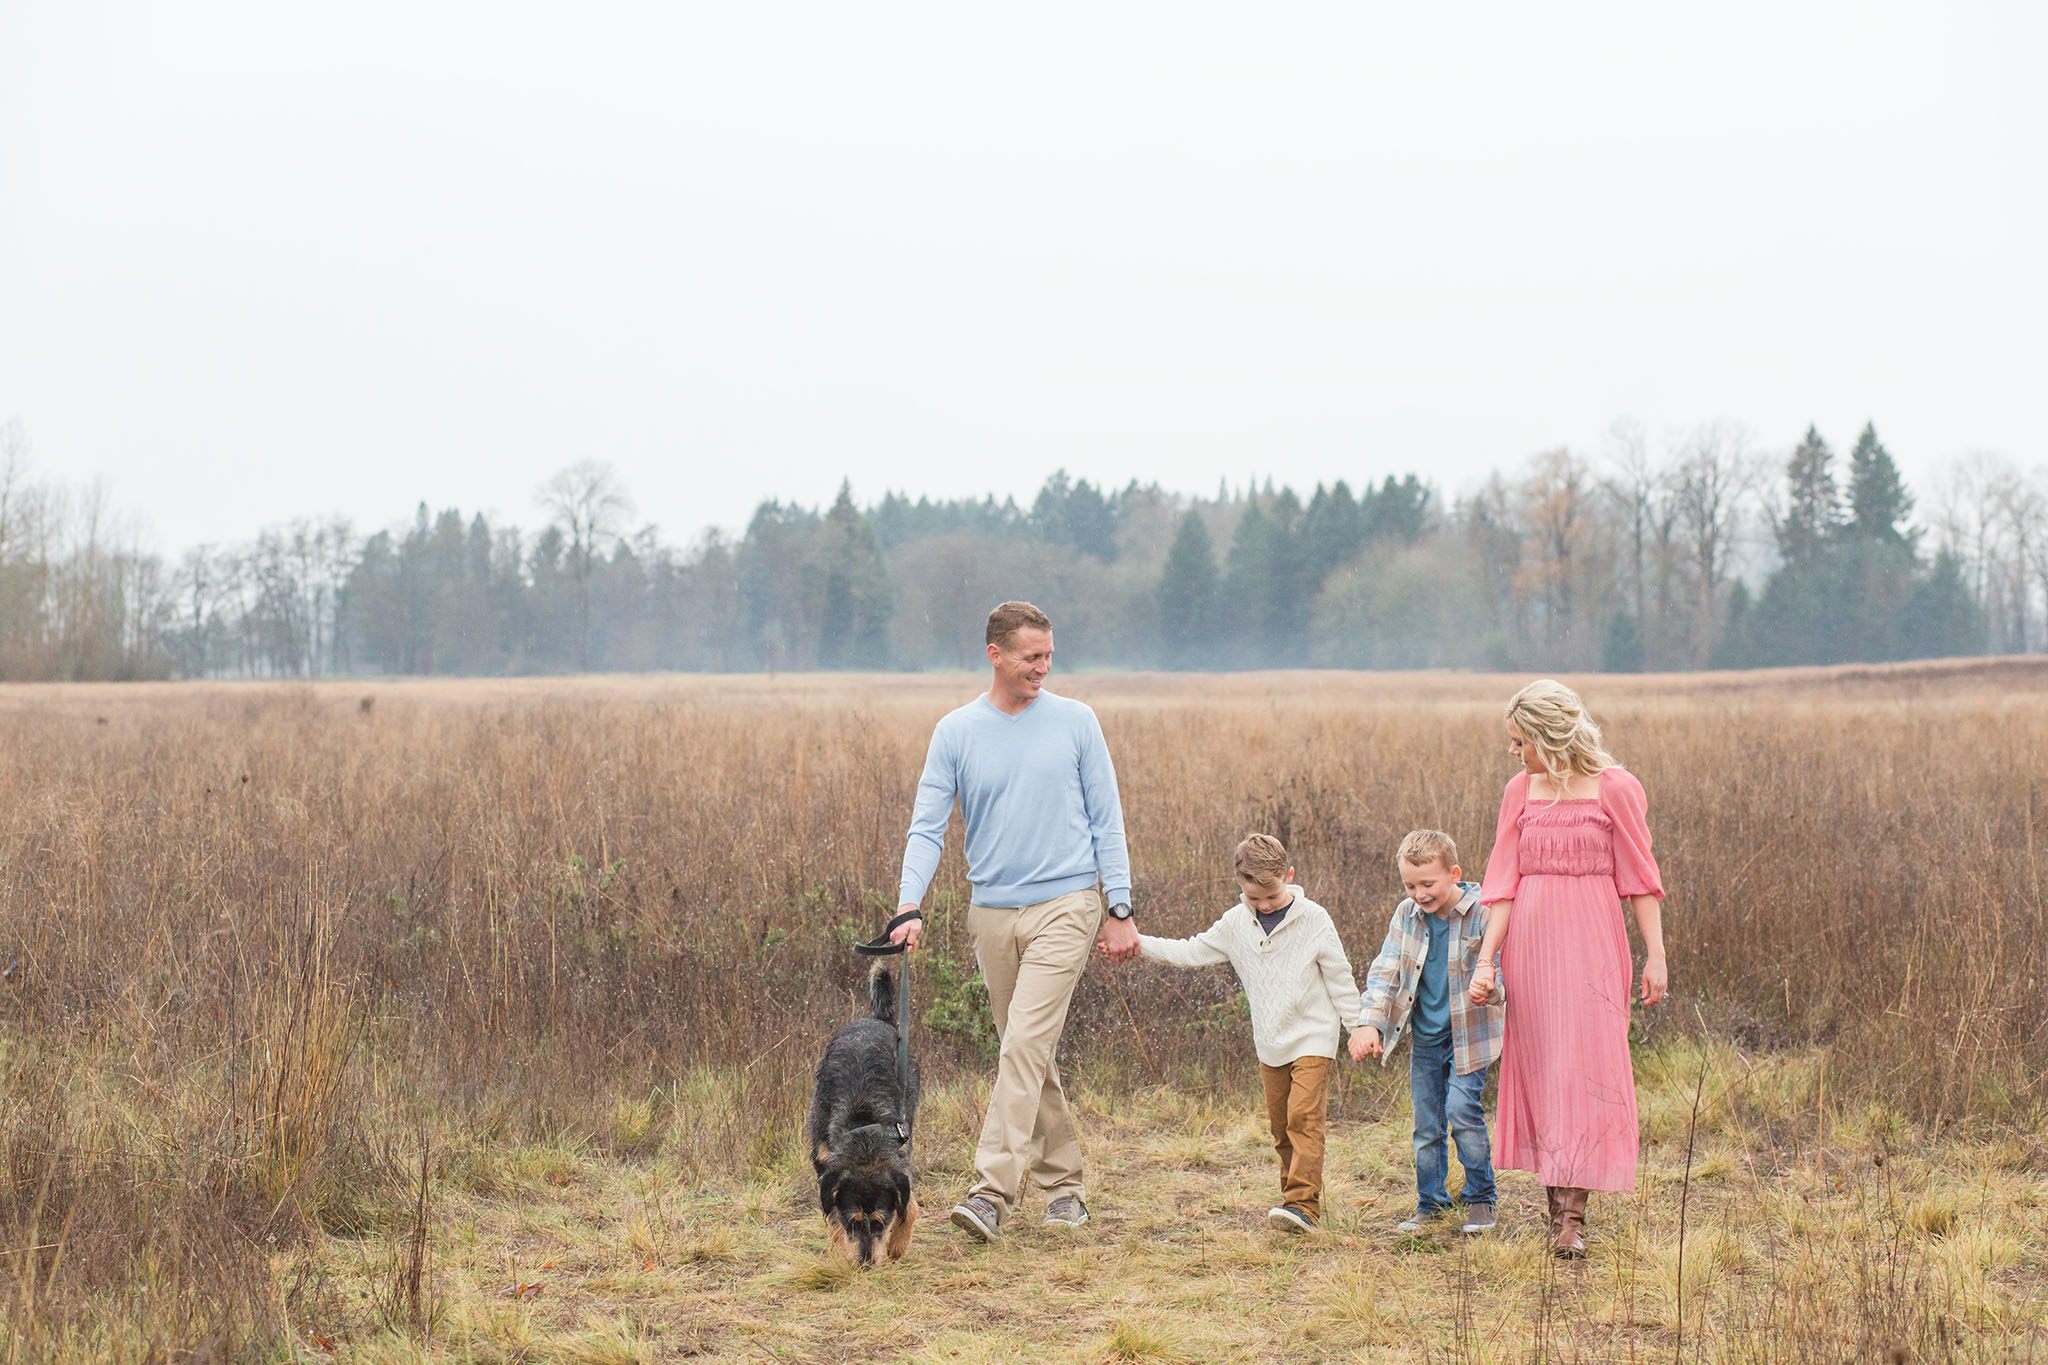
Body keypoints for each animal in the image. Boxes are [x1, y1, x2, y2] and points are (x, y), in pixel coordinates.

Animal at [806, 965, 921, 1268]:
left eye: (881, 1222)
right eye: (853, 1223)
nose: (865, 1263)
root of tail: (878, 1019)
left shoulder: (901, 1161)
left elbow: (910, 1207)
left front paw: (898, 1244)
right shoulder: (825, 1164)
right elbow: (832, 1217)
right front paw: (839, 1250)